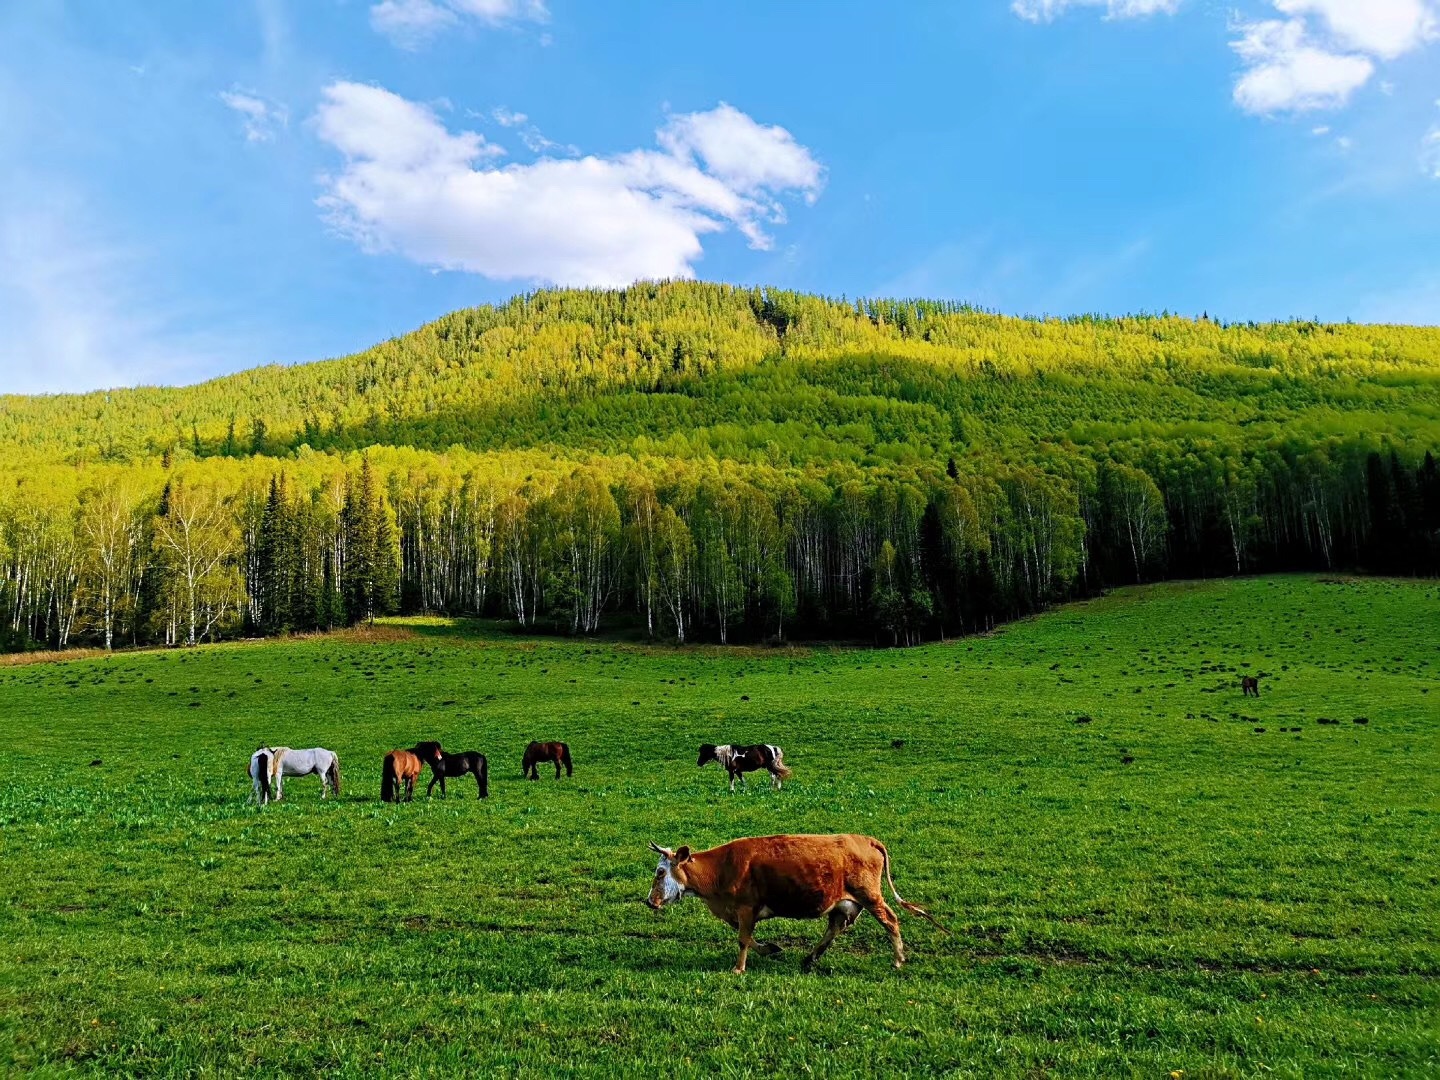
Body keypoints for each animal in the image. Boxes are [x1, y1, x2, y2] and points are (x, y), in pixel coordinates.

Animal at [645, 835, 944, 979]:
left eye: (660, 872)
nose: (649, 901)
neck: (723, 867)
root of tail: (867, 840)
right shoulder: (742, 912)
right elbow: (749, 938)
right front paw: (771, 949)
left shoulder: (745, 908)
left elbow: (743, 939)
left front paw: (739, 968)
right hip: (845, 903)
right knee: (835, 928)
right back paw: (810, 958)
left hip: (870, 896)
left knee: (890, 920)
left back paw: (898, 959)